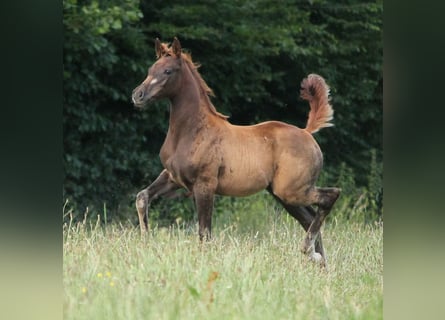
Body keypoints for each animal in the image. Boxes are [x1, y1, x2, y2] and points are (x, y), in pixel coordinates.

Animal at [132, 38, 340, 268]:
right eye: (151, 69)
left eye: (168, 71)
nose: (138, 95)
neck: (191, 130)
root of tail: (306, 132)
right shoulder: (173, 178)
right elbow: (142, 197)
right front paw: (145, 243)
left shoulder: (205, 186)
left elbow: (204, 233)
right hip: (284, 195)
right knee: (310, 218)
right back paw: (319, 263)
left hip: (292, 190)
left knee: (330, 197)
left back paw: (309, 251)